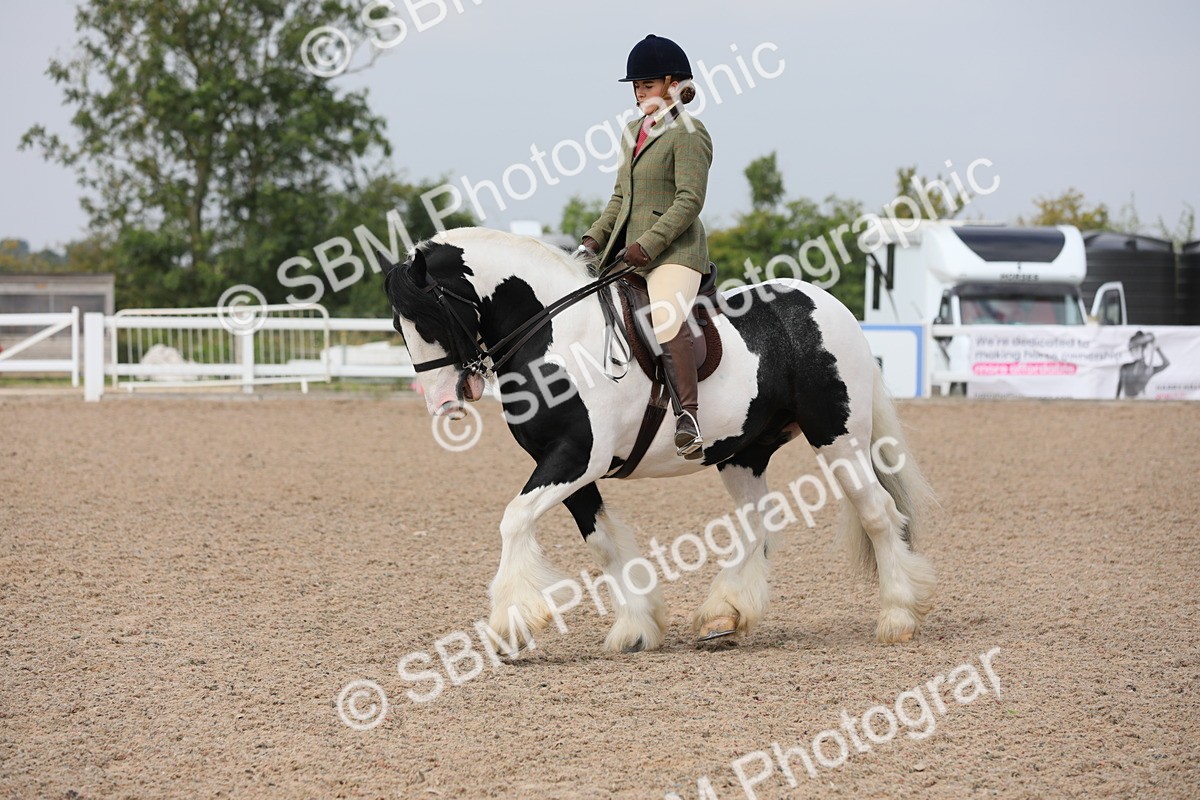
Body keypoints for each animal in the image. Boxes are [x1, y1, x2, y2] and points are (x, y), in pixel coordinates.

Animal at [383, 227, 936, 654]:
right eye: (397, 322)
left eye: (428, 316)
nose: (442, 401)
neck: (558, 335)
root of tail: (828, 305)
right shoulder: (567, 468)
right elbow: (603, 544)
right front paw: (636, 627)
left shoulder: (575, 459)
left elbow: (515, 519)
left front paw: (511, 624)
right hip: (743, 453)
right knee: (757, 523)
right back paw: (725, 616)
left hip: (837, 438)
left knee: (878, 514)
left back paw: (897, 618)